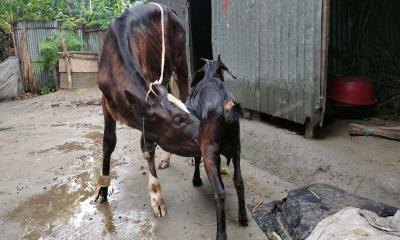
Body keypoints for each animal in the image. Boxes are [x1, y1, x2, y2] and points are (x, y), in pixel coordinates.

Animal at [185, 55, 247, 240]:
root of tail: (226, 107)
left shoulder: (200, 141)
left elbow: (196, 158)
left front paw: (196, 180)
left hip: (209, 151)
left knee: (220, 192)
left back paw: (221, 234)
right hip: (236, 149)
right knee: (239, 182)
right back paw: (243, 217)